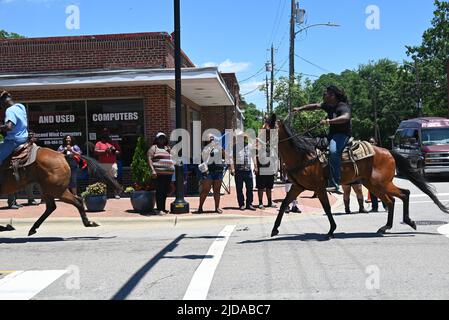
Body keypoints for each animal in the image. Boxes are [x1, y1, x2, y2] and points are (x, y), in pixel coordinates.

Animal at [268, 114, 446, 239]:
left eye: (268, 128)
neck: (304, 155)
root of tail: (388, 151)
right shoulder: (298, 186)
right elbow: (284, 204)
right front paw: (274, 229)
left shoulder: (319, 188)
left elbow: (326, 207)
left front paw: (331, 230)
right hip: (373, 185)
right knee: (392, 200)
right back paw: (386, 227)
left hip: (381, 183)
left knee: (404, 194)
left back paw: (408, 222)